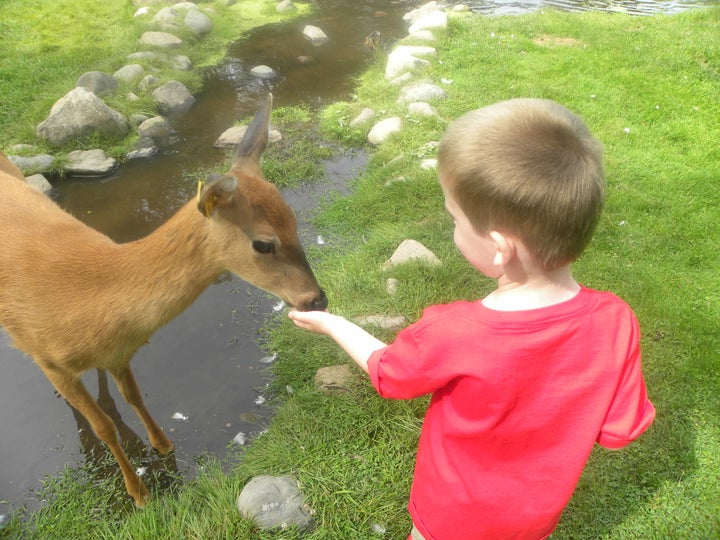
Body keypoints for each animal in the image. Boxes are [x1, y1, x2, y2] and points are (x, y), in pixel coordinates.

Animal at [0, 95, 330, 508]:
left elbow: (134, 396)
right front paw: (138, 494)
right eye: (263, 244)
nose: (317, 299)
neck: (88, 301)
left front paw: (163, 444)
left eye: (295, 222)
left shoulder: (119, 353)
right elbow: (103, 426)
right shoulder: (49, 357)